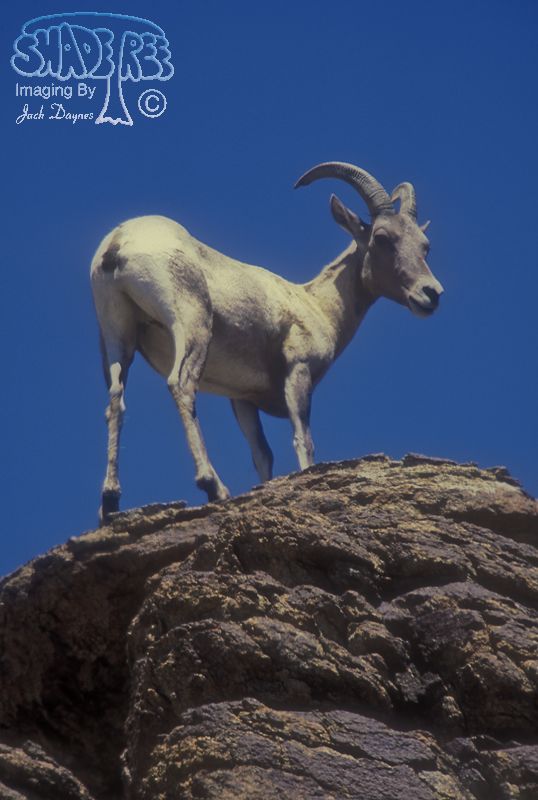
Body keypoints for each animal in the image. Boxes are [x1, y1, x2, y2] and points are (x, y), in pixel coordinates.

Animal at [91, 161, 443, 520]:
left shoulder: (242, 399)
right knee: (181, 385)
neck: (317, 305)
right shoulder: (297, 374)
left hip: (117, 339)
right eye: (382, 237)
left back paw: (110, 501)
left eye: (424, 244)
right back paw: (213, 485)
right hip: (192, 326)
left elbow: (262, 455)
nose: (430, 294)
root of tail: (118, 244)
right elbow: (303, 439)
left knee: (115, 398)